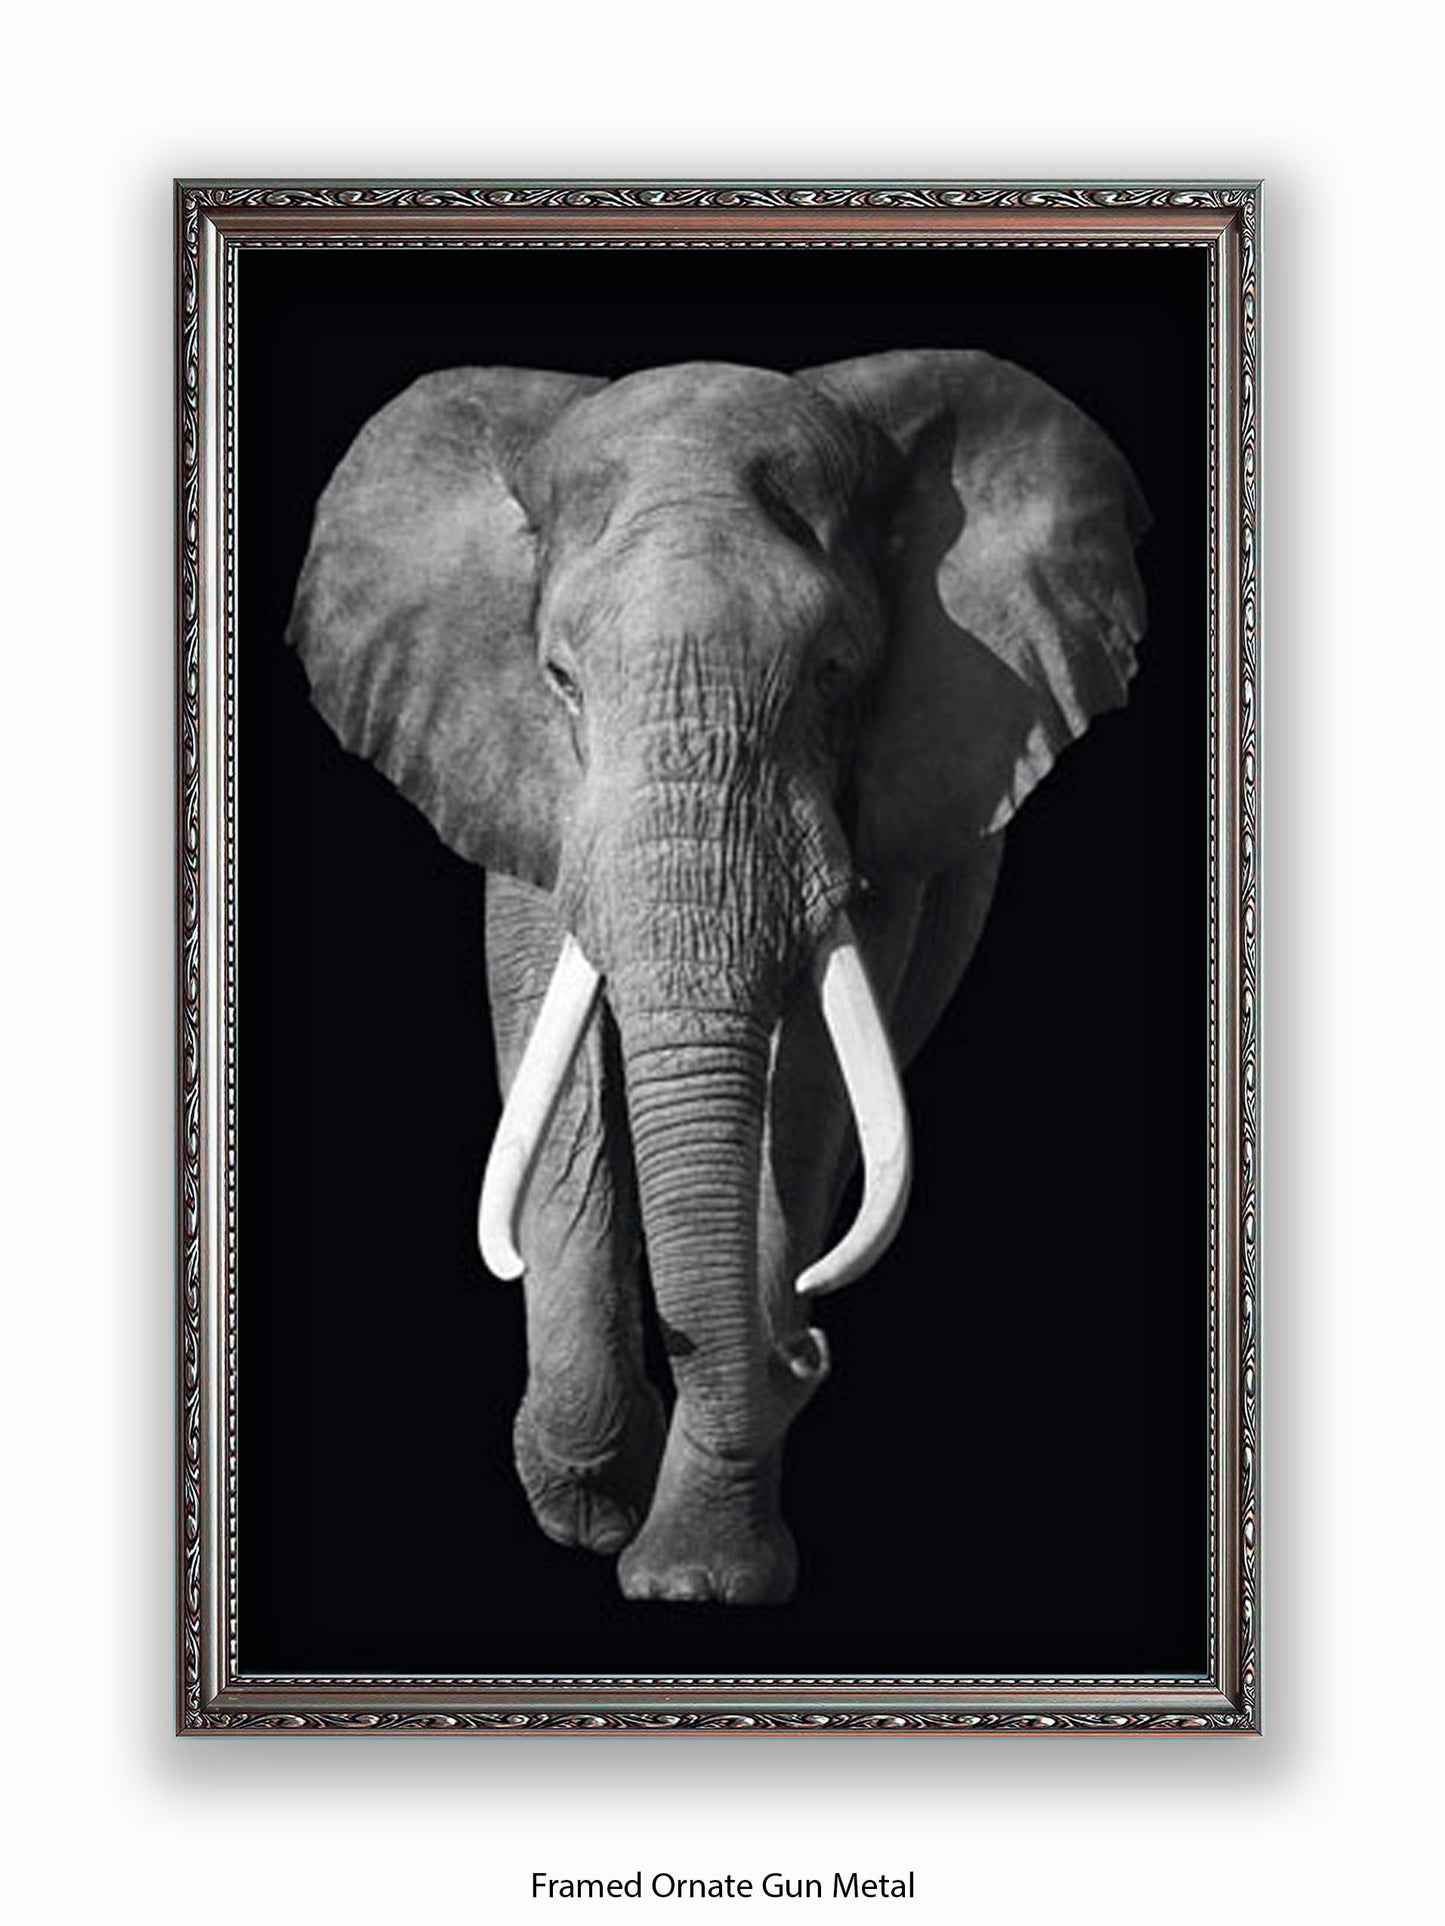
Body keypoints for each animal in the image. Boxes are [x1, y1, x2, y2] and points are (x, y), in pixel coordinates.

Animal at [287, 349, 1148, 1605]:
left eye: (836, 671)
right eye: (559, 678)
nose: (806, 1349)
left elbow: (804, 1090)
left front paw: (695, 1576)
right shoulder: (520, 776)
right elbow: (559, 1062)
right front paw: (592, 1501)